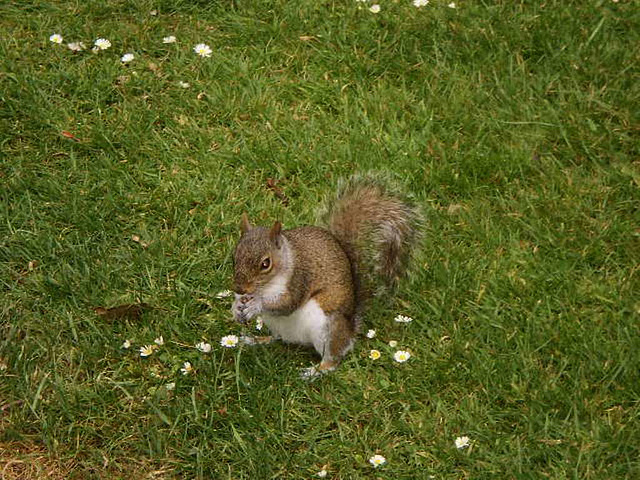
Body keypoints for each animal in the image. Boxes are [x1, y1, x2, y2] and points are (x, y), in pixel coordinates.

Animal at [230, 172, 420, 378]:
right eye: (235, 255)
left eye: (266, 263)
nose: (239, 288)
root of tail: (351, 329)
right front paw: (236, 307)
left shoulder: (300, 278)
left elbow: (287, 303)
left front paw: (256, 304)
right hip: (278, 325)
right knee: (278, 338)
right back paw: (256, 340)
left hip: (328, 327)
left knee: (333, 358)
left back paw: (315, 371)